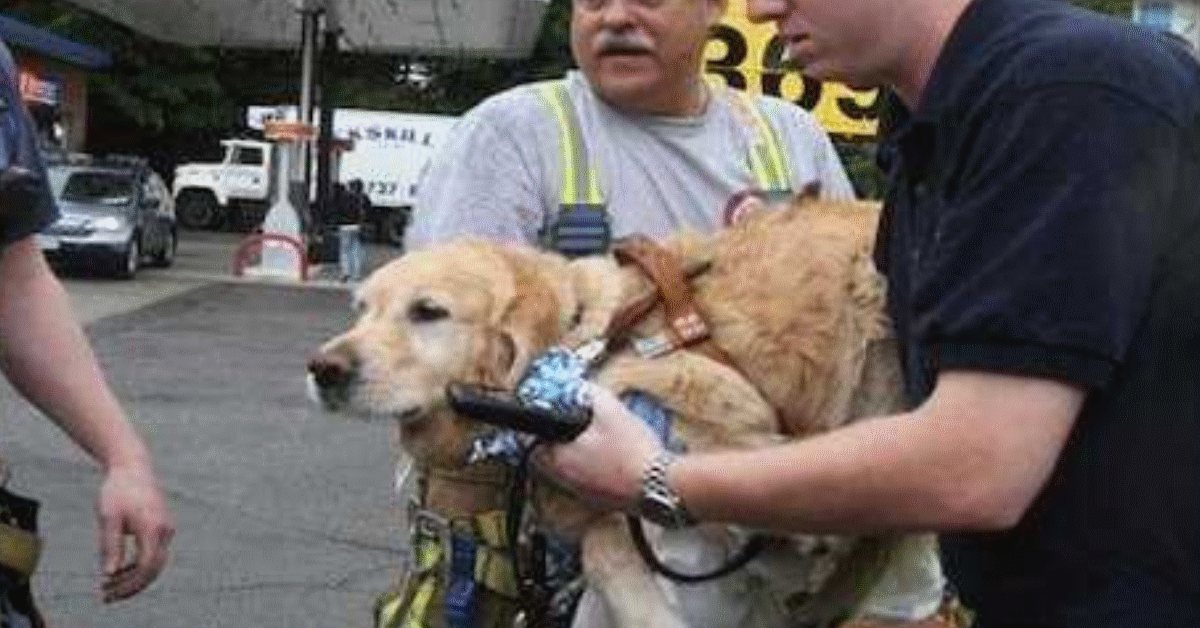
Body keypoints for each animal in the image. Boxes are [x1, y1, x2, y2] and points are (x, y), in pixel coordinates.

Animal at [309, 196, 945, 628]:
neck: (582, 340)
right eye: (362, 309)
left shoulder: (727, 427)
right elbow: (604, 546)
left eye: (428, 311)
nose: (323, 369)